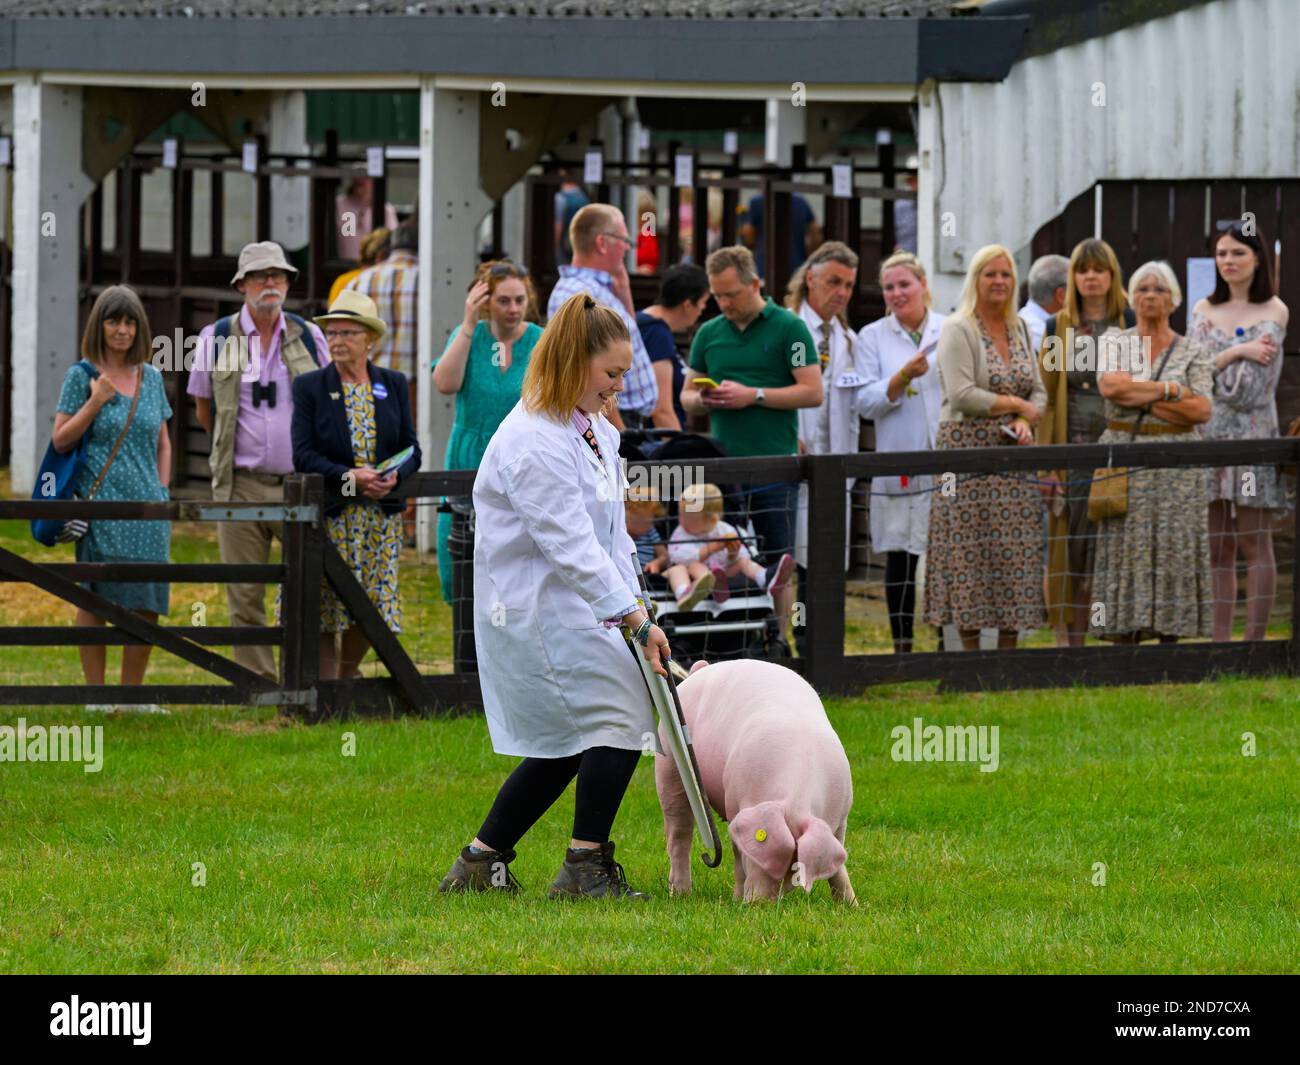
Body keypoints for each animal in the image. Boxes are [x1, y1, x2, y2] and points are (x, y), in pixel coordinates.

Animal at [655, 663, 857, 905]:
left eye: (795, 869)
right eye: (755, 856)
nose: (758, 904)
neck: (798, 792)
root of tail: (700, 671)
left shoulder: (841, 816)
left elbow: (838, 866)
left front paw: (851, 906)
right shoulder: (734, 803)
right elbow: (737, 857)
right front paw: (736, 899)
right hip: (670, 760)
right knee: (678, 833)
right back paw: (681, 894)